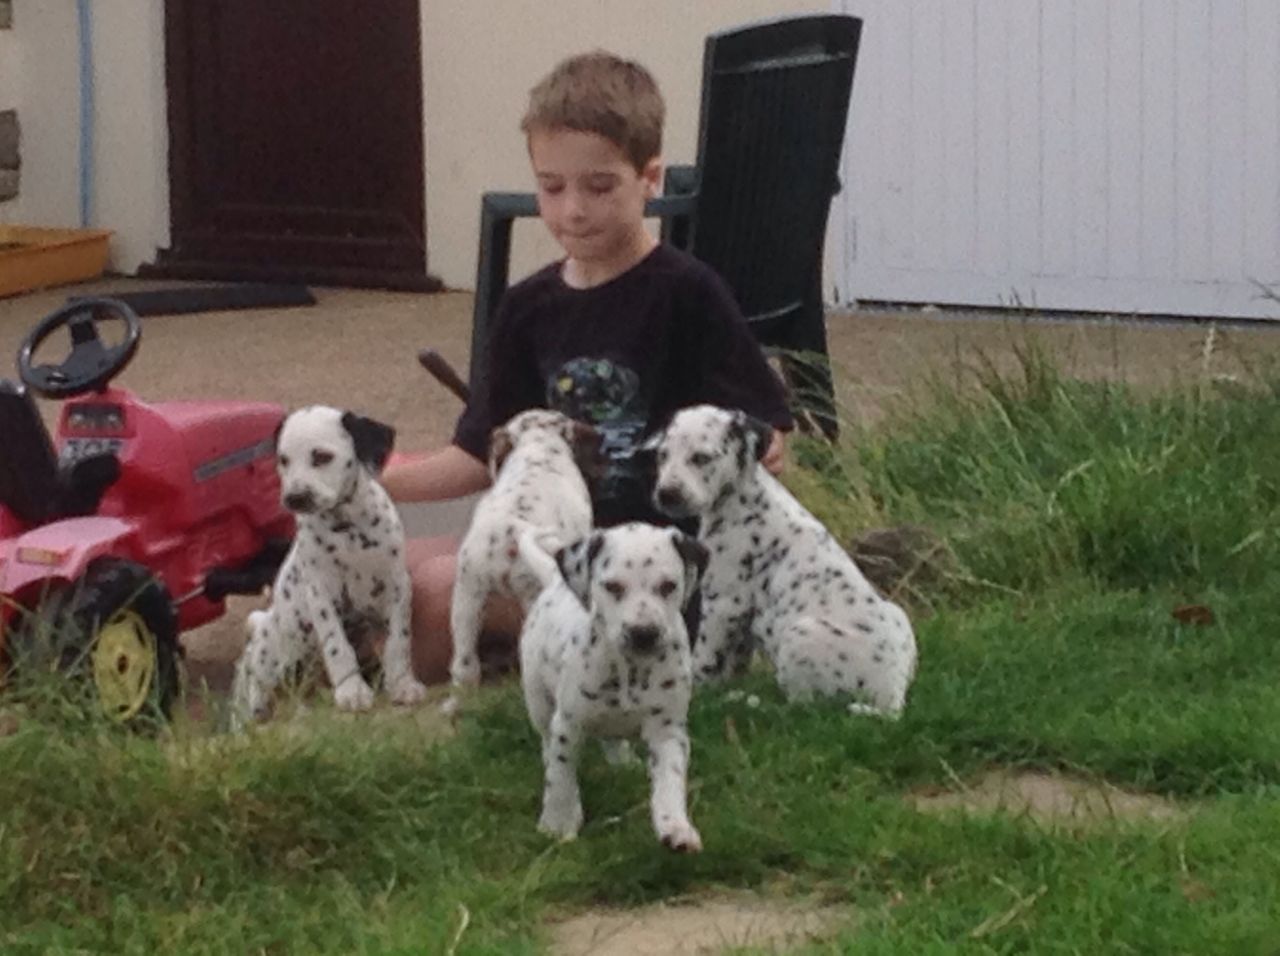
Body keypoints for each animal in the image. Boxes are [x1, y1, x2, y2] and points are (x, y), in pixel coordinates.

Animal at [231, 401, 430, 726]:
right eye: (284, 460)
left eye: (322, 456)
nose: (295, 498)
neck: (348, 531)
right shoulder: (322, 593)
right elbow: (337, 645)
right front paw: (352, 690)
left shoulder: (398, 586)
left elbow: (398, 641)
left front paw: (402, 683)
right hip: (263, 665)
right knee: (249, 695)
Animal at [514, 524, 711, 854]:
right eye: (613, 587)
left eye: (668, 586)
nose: (644, 633)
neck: (629, 670)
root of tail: (554, 580)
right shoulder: (568, 724)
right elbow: (561, 775)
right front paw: (559, 823)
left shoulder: (668, 730)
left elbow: (670, 780)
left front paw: (676, 827)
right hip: (538, 699)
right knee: (547, 743)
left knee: (612, 739)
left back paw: (624, 763)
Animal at [650, 404, 921, 716]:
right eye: (662, 455)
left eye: (701, 458)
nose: (666, 495)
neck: (741, 499)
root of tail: (892, 697)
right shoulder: (741, 619)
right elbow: (731, 663)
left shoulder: (724, 604)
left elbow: (704, 659)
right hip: (897, 614)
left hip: (800, 633)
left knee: (802, 705)